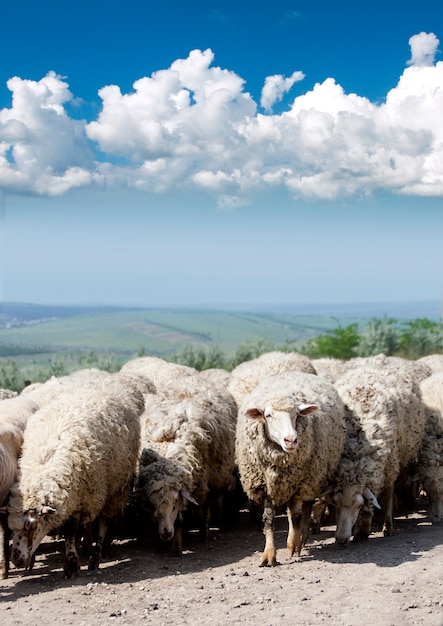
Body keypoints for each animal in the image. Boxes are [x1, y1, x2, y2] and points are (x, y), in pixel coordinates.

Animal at [6, 368, 146, 576]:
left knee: (104, 522)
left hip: (112, 487)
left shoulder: (82, 499)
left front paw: (72, 564)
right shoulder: (73, 500)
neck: (46, 465)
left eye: (32, 525)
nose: (16, 560)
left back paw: (98, 553)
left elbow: (70, 533)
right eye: (11, 527)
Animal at [135, 382, 239, 552]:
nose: (165, 533)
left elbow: (198, 513)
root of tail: (190, 382)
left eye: (175, 503)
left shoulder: (205, 485)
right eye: (153, 504)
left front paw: (189, 539)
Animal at [236, 370, 346, 564]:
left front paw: (294, 545)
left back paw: (302, 537)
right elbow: (269, 519)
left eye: (296, 415)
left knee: (306, 507)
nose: (291, 440)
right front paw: (269, 555)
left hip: (313, 476)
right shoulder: (266, 484)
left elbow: (296, 516)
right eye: (268, 415)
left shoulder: (299, 483)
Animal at [328, 364, 428, 544]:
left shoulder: (390, 465)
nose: (341, 539)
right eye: (335, 503)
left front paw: (385, 526)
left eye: (358, 506)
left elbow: (387, 495)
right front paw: (361, 529)